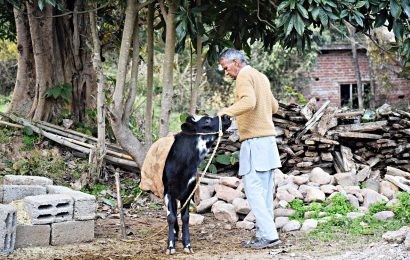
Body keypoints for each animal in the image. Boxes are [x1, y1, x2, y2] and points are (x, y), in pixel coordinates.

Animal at [164, 115, 234, 255]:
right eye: (206, 121)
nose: (226, 116)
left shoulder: (188, 191)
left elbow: (185, 217)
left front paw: (187, 244)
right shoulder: (168, 192)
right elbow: (171, 217)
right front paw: (170, 246)